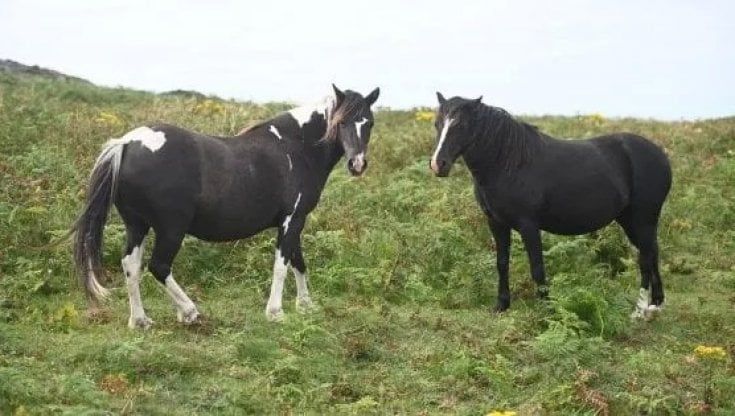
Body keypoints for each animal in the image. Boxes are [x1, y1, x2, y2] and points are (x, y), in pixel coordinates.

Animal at [72, 84, 380, 329]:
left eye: (369, 123)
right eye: (341, 122)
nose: (357, 164)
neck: (296, 148)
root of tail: (126, 143)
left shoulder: (295, 219)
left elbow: (298, 262)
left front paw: (305, 305)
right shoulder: (292, 220)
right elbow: (282, 265)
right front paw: (275, 312)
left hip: (137, 225)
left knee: (131, 265)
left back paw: (140, 320)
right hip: (171, 229)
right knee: (158, 266)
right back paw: (189, 312)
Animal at [429, 93, 671, 320]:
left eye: (461, 125)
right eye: (437, 123)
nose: (438, 164)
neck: (508, 163)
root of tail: (660, 154)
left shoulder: (528, 226)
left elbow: (537, 268)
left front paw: (547, 310)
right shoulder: (496, 223)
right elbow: (502, 262)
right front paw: (501, 305)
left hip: (642, 219)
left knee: (645, 260)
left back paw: (639, 311)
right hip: (631, 221)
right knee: (653, 252)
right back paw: (656, 304)